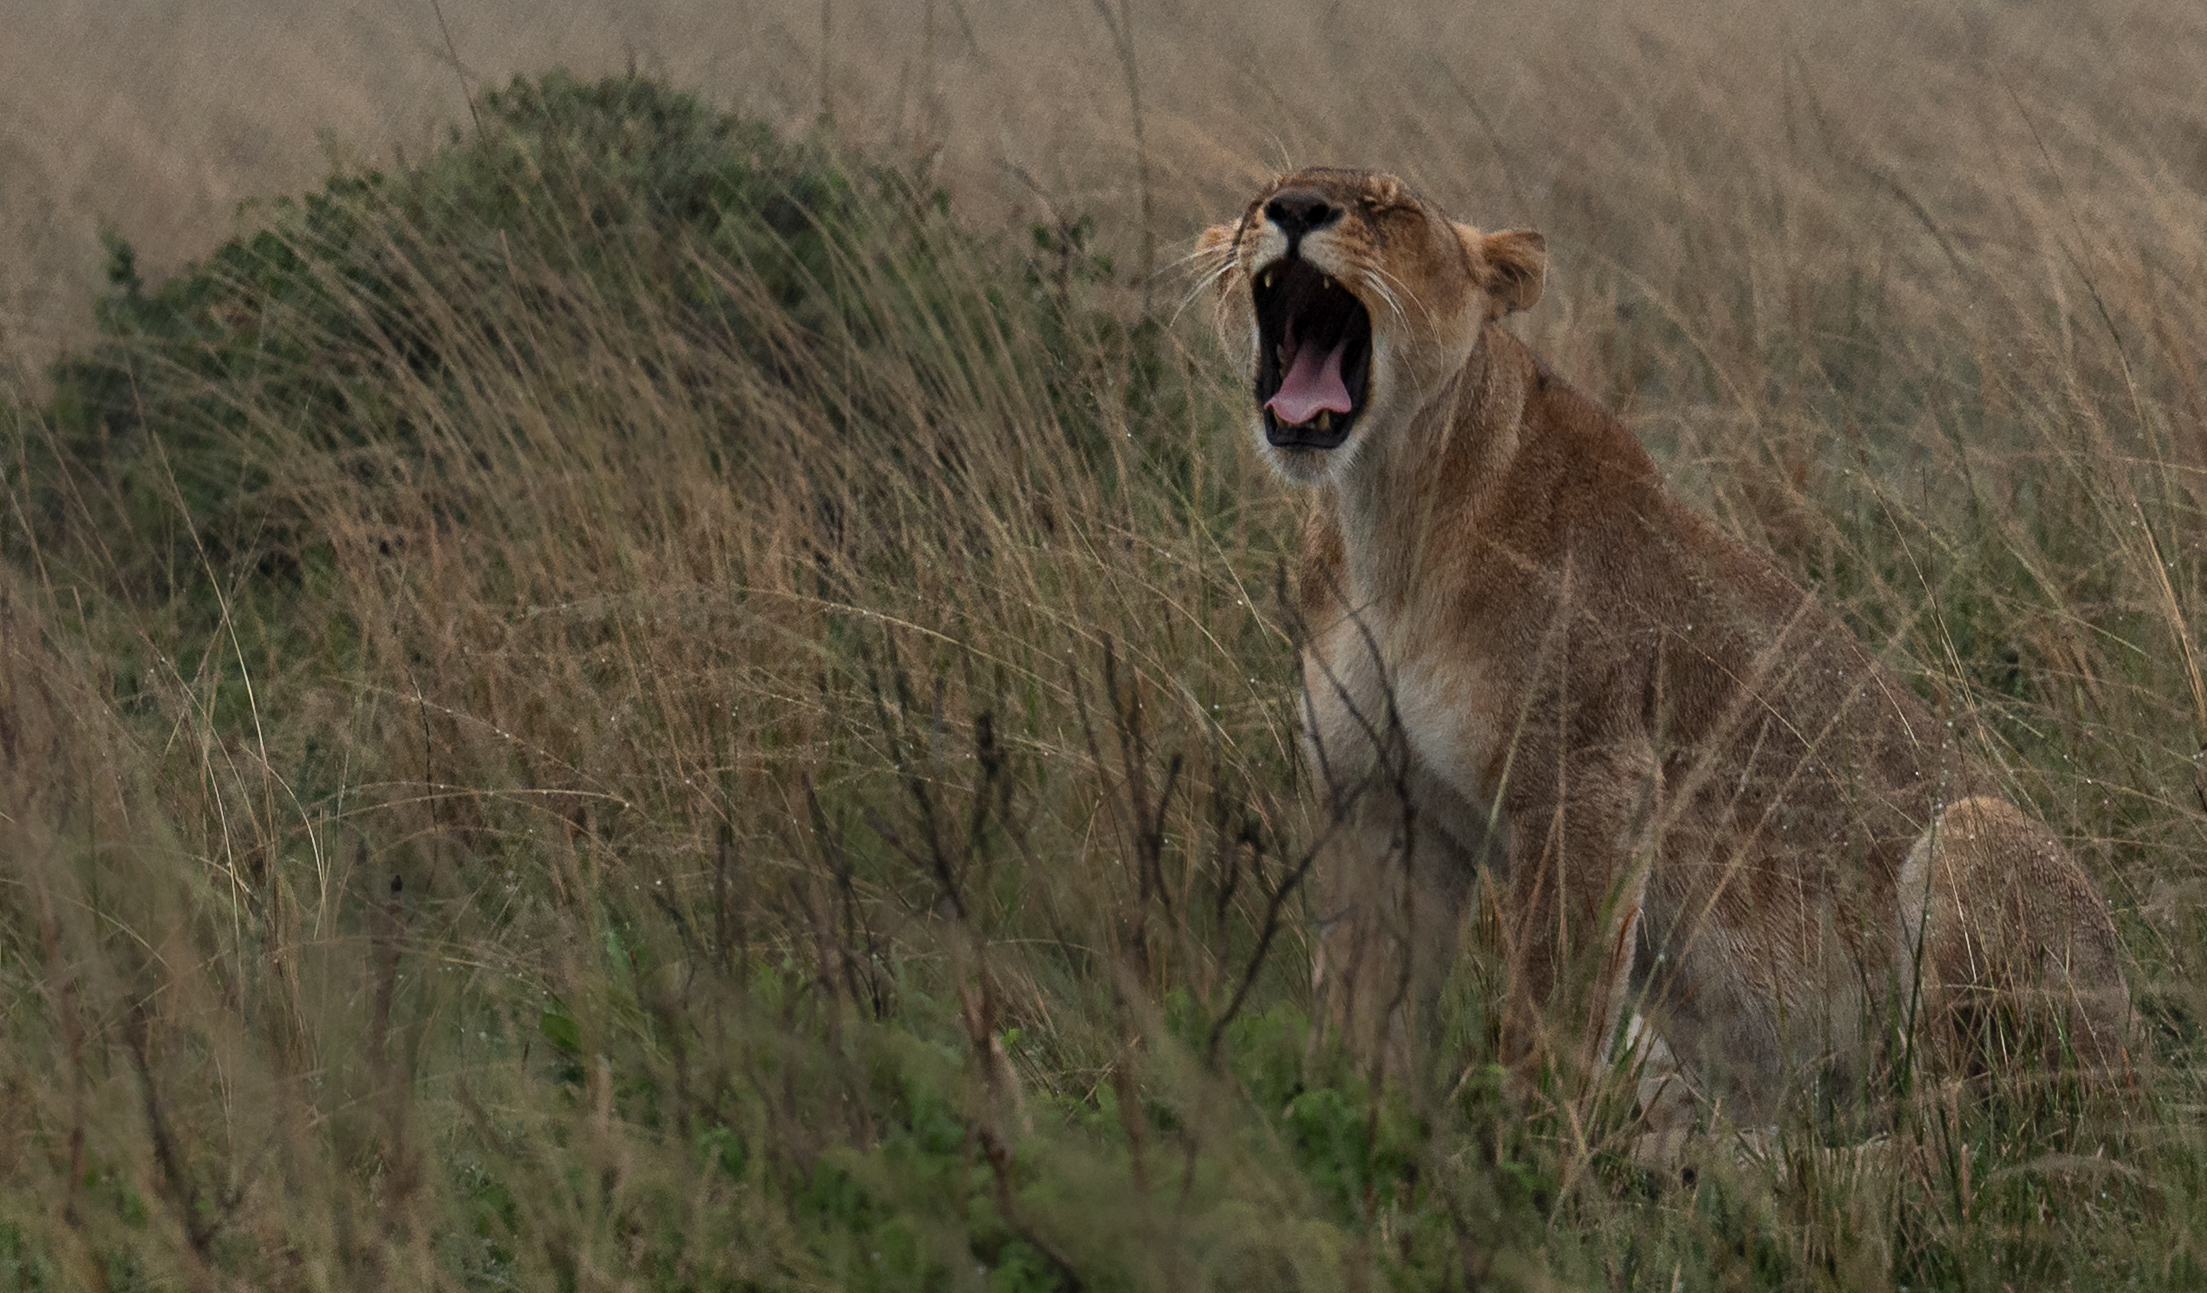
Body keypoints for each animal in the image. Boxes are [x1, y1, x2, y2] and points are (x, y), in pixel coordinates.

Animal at [1193, 167, 2132, 1133]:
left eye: (1388, 207)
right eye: (1264, 196)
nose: (1294, 212)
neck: (1386, 511)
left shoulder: (1592, 778)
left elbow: (1553, 996)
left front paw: (1525, 1136)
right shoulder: (1378, 793)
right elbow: (1363, 992)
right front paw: (1340, 1111)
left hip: (1982, 844)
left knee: (1956, 1122)